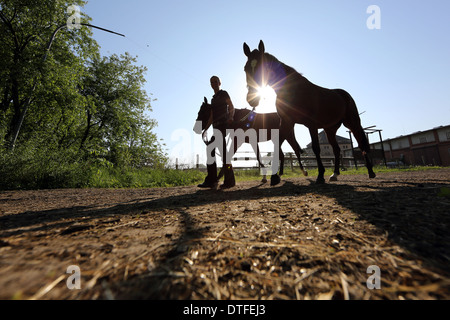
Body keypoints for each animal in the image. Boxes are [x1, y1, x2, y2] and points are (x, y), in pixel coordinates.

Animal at [243, 40, 376, 185]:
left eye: (263, 68)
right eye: (245, 68)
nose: (251, 99)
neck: (295, 91)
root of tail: (344, 94)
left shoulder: (311, 125)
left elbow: (316, 149)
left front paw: (320, 175)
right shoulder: (286, 122)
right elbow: (277, 146)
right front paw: (274, 177)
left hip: (352, 123)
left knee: (361, 144)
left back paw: (371, 172)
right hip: (330, 129)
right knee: (336, 149)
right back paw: (334, 174)